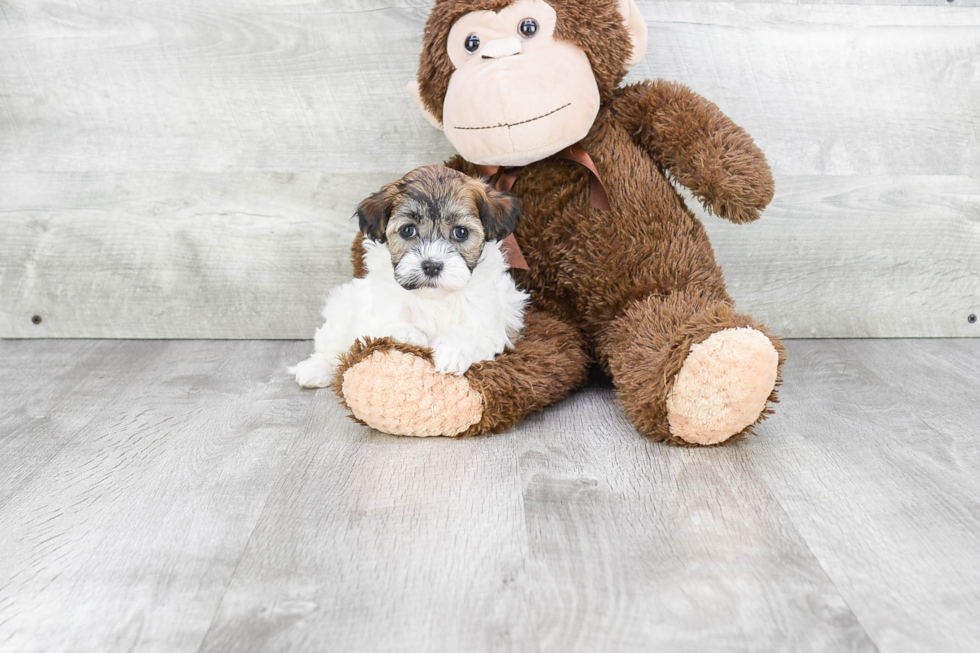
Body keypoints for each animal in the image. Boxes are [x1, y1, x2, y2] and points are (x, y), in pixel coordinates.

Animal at [290, 166, 528, 388]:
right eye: (408, 231)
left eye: (461, 232)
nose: (431, 266)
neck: (434, 298)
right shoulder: (372, 317)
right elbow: (388, 325)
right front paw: (411, 337)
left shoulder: (489, 324)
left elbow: (467, 332)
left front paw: (452, 353)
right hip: (343, 308)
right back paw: (315, 369)